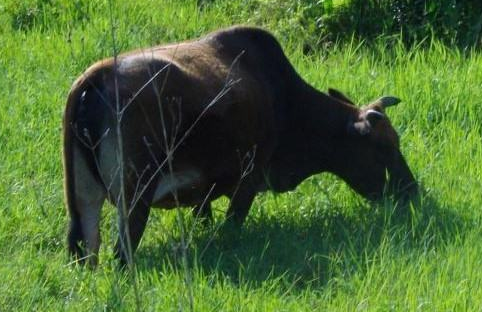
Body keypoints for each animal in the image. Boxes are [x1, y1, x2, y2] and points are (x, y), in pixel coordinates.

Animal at [63, 26, 418, 266]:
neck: (284, 100)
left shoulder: (202, 193)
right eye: (384, 148)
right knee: (122, 254)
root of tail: (96, 78)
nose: (412, 192)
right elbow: (231, 225)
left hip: (82, 205)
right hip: (136, 199)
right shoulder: (248, 179)